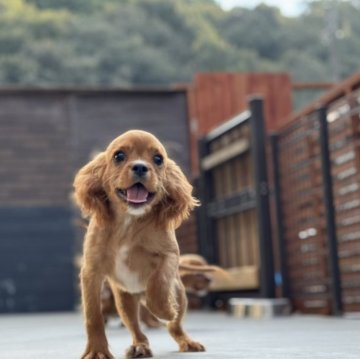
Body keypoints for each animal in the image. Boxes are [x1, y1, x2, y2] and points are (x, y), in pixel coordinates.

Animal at [72, 131, 205, 359]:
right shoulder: (91, 271)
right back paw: (140, 347)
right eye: (119, 156)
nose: (141, 167)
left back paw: (185, 340)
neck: (129, 222)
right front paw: (97, 351)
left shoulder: (170, 255)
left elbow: (159, 284)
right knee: (135, 328)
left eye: (158, 159)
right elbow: (93, 316)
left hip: (180, 293)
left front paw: (165, 309)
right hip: (124, 303)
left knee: (174, 324)